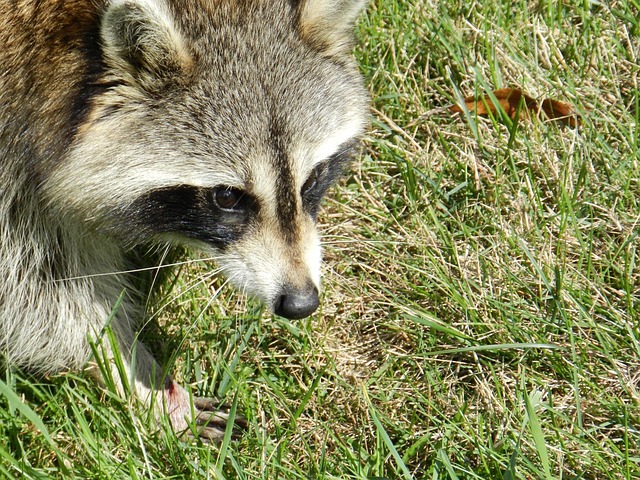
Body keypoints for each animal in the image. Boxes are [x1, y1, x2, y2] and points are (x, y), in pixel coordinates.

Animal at [0, 0, 368, 440]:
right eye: (227, 197)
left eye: (312, 178)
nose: (300, 302)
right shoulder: (11, 144)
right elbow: (40, 286)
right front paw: (136, 375)